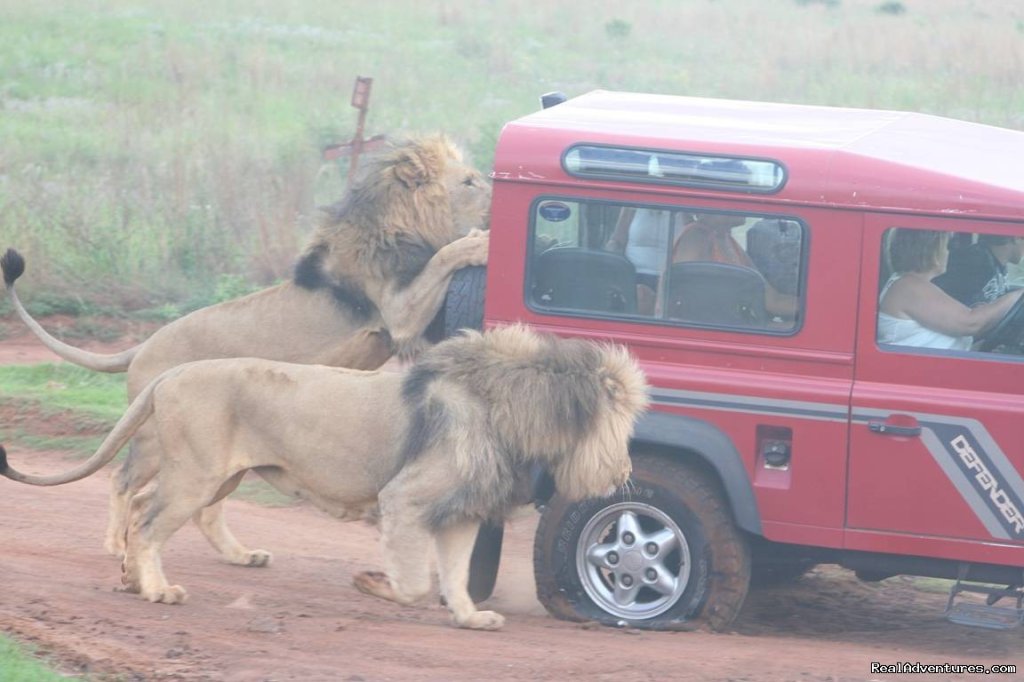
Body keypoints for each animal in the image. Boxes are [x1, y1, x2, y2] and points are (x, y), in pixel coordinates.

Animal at [0, 133, 495, 561]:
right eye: (470, 182)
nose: (495, 194)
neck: (401, 222)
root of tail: (139, 349)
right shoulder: (397, 311)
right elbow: (443, 258)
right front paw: (478, 244)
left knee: (204, 507)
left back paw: (240, 556)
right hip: (154, 438)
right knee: (124, 481)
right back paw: (115, 546)